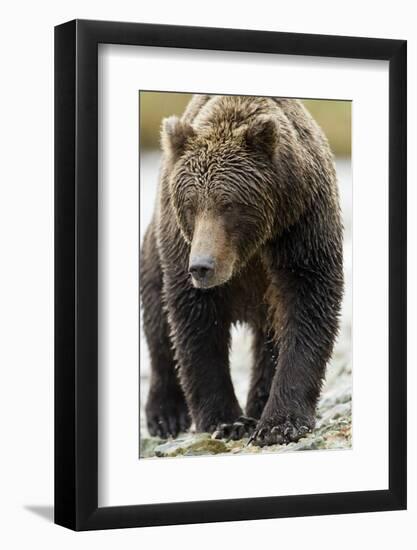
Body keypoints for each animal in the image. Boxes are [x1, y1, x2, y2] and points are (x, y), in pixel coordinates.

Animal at [140, 95, 342, 448]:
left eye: (229, 204)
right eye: (190, 205)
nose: (202, 266)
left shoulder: (301, 227)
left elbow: (308, 307)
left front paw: (280, 423)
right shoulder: (181, 247)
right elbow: (197, 325)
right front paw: (227, 421)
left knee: (269, 340)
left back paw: (258, 405)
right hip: (154, 252)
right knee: (159, 327)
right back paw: (166, 415)